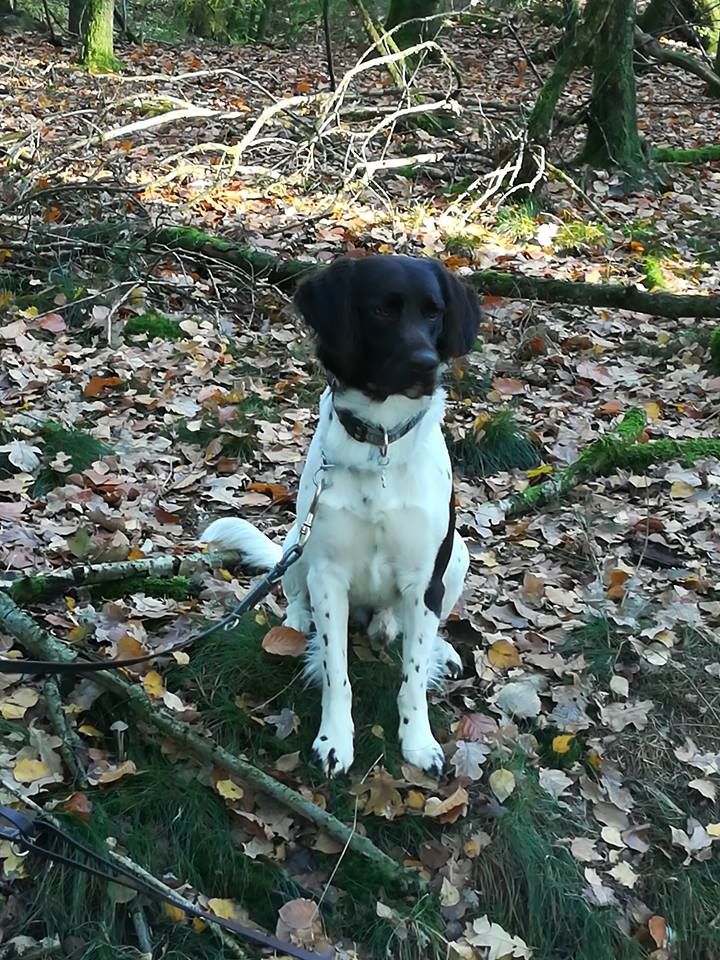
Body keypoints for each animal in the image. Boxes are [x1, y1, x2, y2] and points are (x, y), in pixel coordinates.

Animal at [202, 253, 480, 772]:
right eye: (383, 310)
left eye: (434, 312)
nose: (426, 366)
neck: (382, 443)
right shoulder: (328, 575)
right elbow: (338, 673)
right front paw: (335, 741)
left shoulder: (424, 578)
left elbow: (413, 676)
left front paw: (418, 741)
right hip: (298, 541)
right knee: (293, 593)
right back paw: (295, 626)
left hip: (457, 557)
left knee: (419, 622)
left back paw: (421, 638)